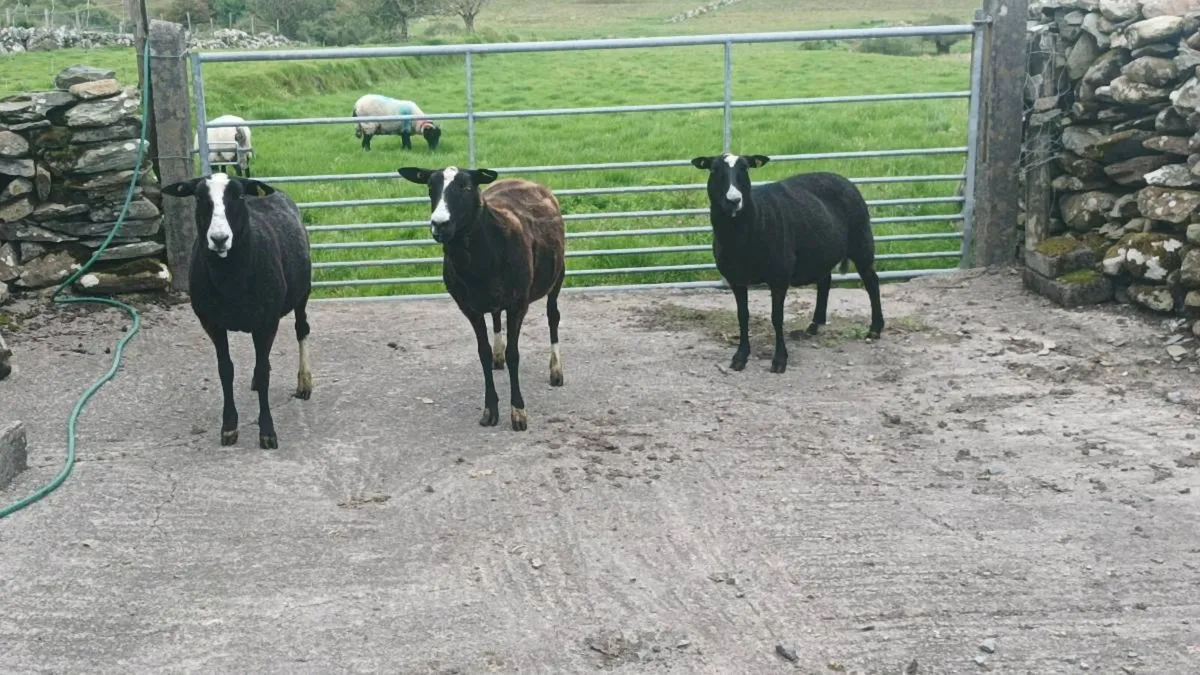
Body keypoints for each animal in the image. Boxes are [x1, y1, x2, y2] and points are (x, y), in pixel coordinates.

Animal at [160, 173, 313, 449]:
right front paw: (229, 428)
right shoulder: (212, 323)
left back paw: (304, 382)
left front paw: (267, 432)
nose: (219, 239)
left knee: (302, 329)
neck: (230, 279)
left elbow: (264, 373)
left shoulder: (267, 321)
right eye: (198, 197)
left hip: (303, 292)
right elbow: (226, 370)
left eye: (239, 196)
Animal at [397, 165, 565, 431]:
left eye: (467, 187)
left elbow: (515, 355)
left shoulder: (518, 304)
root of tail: (525, 180)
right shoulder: (469, 308)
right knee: (496, 318)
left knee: (553, 317)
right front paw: (490, 411)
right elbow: (483, 354)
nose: (439, 225)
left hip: (557, 276)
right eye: (429, 186)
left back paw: (556, 371)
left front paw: (518, 413)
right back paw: (499, 356)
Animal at [691, 153, 884, 374]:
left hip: (861, 243)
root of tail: (843, 178)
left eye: (745, 168)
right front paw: (740, 357)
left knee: (871, 282)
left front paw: (779, 360)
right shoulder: (736, 279)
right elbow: (742, 316)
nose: (734, 200)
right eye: (714, 170)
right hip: (821, 249)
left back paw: (875, 329)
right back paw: (815, 325)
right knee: (825, 281)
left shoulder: (779, 277)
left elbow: (777, 318)